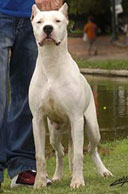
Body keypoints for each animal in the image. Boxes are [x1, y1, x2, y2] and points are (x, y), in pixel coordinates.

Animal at [28, 2, 112, 188]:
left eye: (58, 21)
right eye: (39, 22)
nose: (48, 28)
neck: (51, 63)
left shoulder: (76, 117)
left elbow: (79, 154)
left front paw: (78, 181)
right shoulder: (37, 119)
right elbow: (40, 155)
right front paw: (39, 183)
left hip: (91, 127)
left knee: (90, 150)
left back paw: (103, 171)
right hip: (54, 132)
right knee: (60, 152)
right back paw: (58, 176)